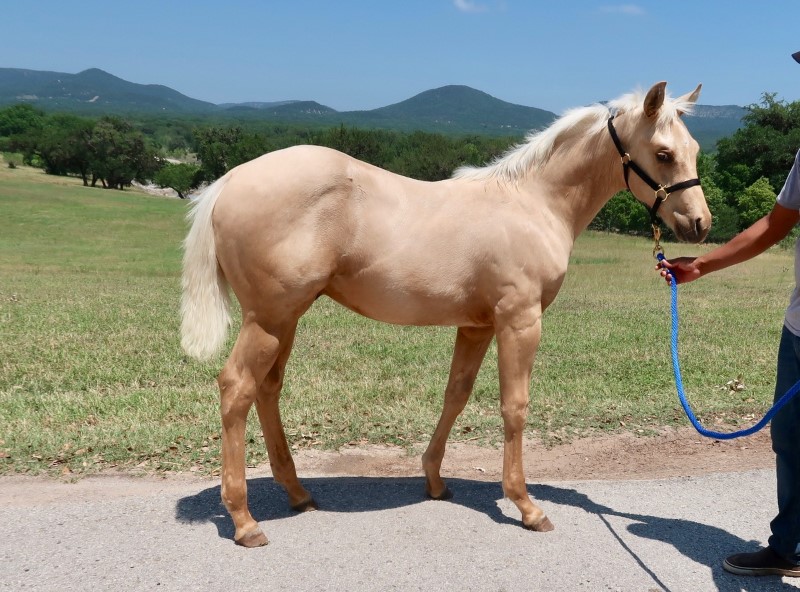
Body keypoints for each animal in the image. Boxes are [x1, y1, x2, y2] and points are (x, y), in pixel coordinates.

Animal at [183, 82, 712, 544]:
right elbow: (514, 406)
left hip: (285, 318)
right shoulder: (520, 321)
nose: (700, 224)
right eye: (663, 153)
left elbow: (455, 395)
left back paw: (297, 493)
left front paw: (435, 480)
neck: (534, 204)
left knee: (267, 389)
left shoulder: (476, 326)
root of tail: (229, 180)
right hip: (269, 319)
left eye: (695, 149)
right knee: (236, 388)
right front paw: (527, 506)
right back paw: (244, 520)